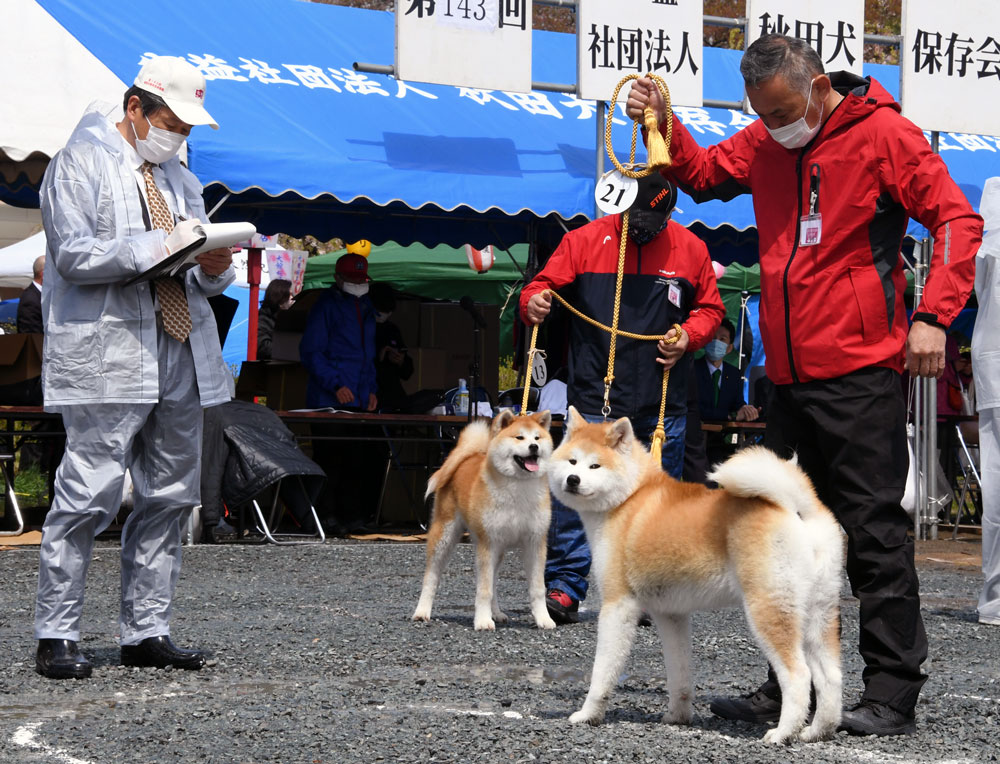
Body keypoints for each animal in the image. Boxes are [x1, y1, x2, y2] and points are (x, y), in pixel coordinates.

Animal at [412, 412, 556, 632]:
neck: (519, 488)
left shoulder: (535, 542)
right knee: (431, 576)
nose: (534, 447)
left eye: (537, 438)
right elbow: (484, 590)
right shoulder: (488, 543)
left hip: (497, 549)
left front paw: (543, 618)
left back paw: (496, 613)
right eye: (519, 437)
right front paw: (482, 621)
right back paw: (422, 611)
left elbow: (537, 588)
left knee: (494, 582)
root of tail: (467, 457)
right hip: (445, 536)